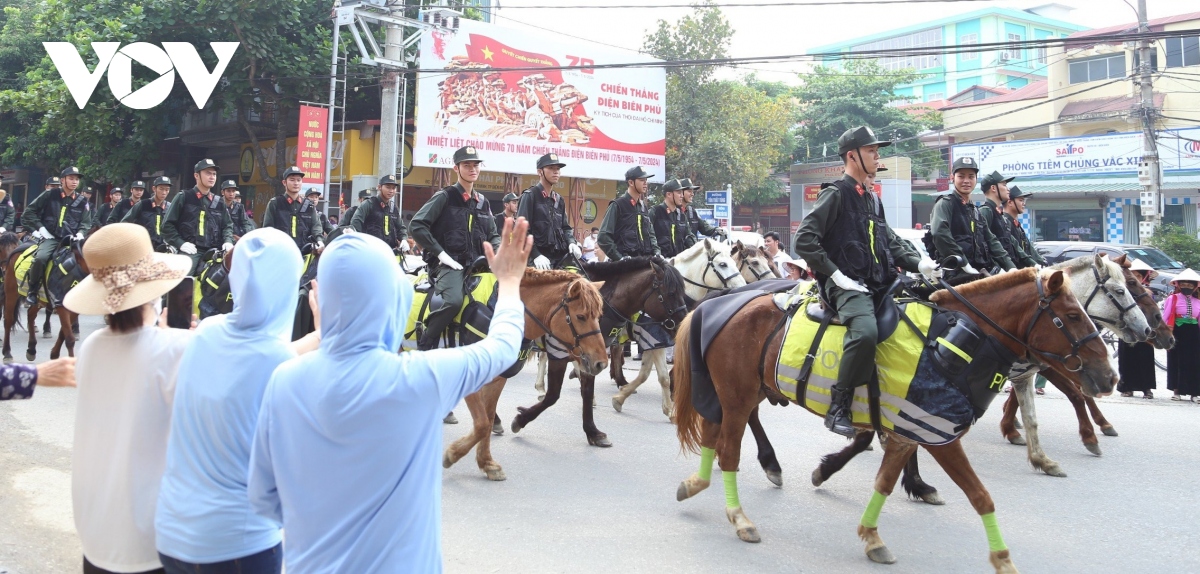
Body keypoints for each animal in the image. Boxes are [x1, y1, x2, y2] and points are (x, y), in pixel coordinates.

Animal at [441, 268, 609, 480]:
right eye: (581, 316)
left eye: (599, 315)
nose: (601, 363)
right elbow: (481, 424)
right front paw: (453, 454)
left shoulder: (497, 380)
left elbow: (487, 420)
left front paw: (487, 463)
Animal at [676, 270, 1113, 574]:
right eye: (1071, 315)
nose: (1109, 376)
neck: (951, 342)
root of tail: (720, 303)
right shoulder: (941, 435)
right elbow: (981, 496)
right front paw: (1003, 559)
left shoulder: (909, 431)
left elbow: (884, 482)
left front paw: (872, 537)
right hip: (736, 396)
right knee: (728, 453)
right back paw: (740, 517)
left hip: (734, 394)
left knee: (713, 438)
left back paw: (695, 484)